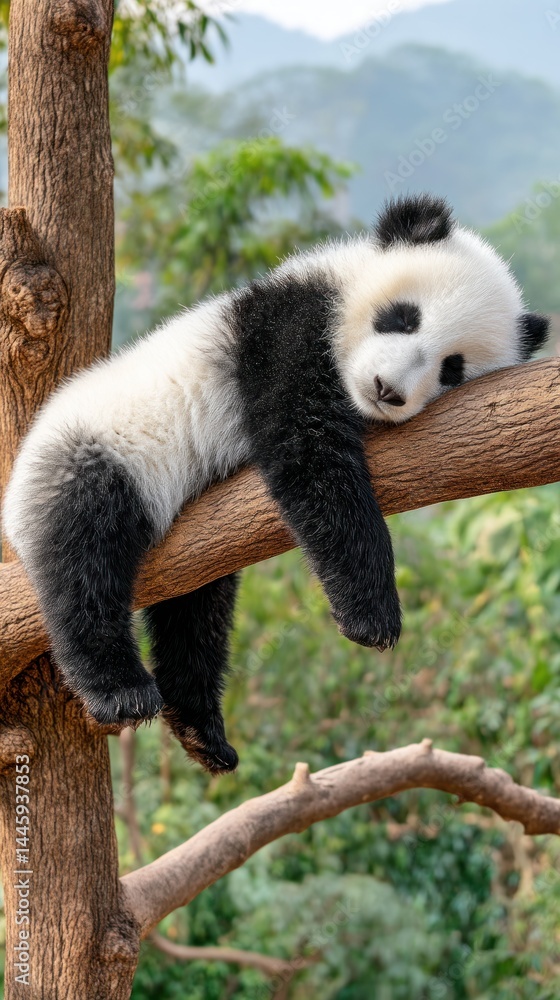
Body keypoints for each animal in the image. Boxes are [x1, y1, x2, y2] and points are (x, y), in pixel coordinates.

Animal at [2, 194, 549, 774]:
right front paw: (373, 615)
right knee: (84, 555)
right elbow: (309, 452)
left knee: (197, 613)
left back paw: (200, 727)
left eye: (452, 368)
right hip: (88, 453)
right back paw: (119, 689)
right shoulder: (289, 326)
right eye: (403, 318)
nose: (387, 390)